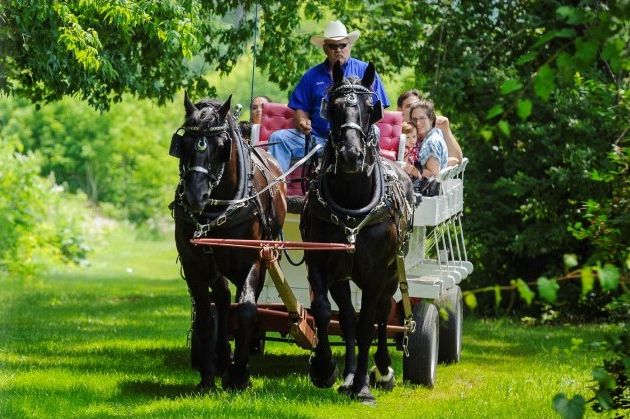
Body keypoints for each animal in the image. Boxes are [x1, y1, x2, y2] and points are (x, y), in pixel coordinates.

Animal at [168, 93, 286, 392]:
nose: (195, 196)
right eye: (185, 143)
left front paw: (240, 374)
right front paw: (208, 376)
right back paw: (221, 357)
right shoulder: (195, 264)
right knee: (219, 299)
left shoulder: (253, 259)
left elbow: (246, 309)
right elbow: (206, 316)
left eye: (222, 146)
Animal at [302, 62, 414, 404]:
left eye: (369, 107)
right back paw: (349, 376)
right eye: (335, 107)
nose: (351, 155)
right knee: (348, 318)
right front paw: (325, 369)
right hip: (343, 275)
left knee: (381, 313)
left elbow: (368, 324)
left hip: (392, 273)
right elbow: (325, 312)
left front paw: (365, 387)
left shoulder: (376, 273)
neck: (352, 205)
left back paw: (382, 371)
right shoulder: (319, 262)